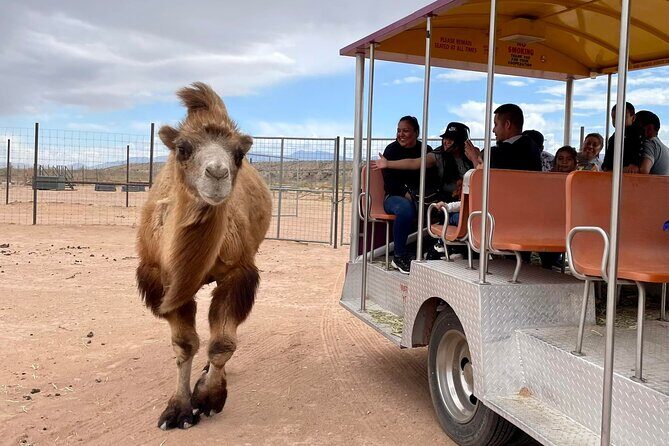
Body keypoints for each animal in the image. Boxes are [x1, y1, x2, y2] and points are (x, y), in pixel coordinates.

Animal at [136, 82, 272, 430]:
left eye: (239, 154)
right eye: (182, 149)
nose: (217, 173)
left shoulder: (239, 271)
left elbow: (222, 343)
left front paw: (208, 398)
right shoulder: (164, 281)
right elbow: (185, 345)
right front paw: (177, 410)